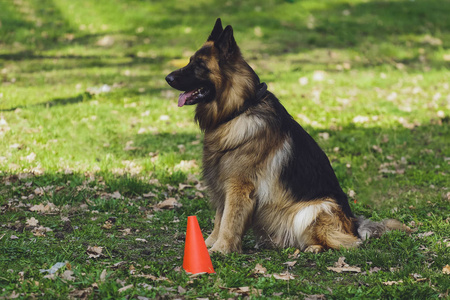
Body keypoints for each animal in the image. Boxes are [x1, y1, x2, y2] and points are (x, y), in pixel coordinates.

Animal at [165, 18, 408, 253]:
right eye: (189, 61)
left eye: (199, 65)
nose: (167, 78)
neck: (240, 109)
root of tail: (355, 224)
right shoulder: (223, 183)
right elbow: (219, 218)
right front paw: (208, 245)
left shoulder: (238, 186)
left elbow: (228, 221)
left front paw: (220, 249)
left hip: (311, 210)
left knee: (348, 242)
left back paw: (314, 248)